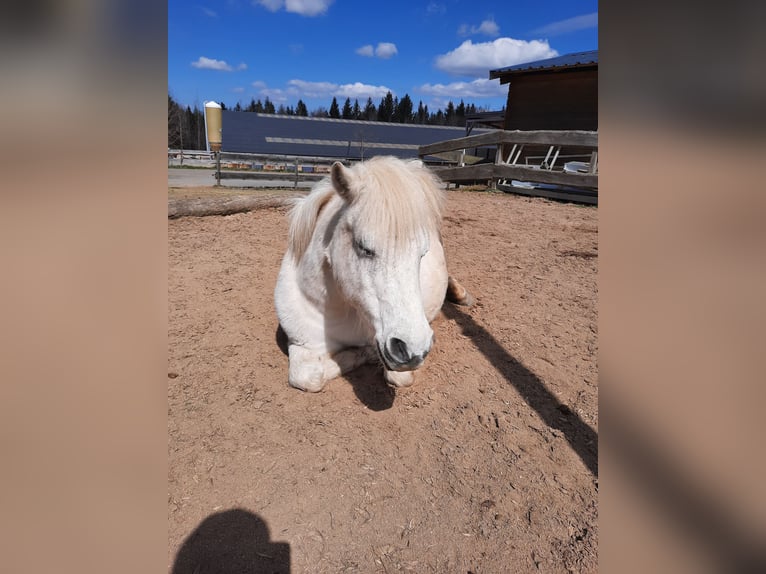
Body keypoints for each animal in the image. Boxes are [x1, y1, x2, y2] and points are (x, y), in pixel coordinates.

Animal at [272, 155, 472, 394]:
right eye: (363, 247)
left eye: (423, 253)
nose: (413, 351)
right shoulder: (302, 343)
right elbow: (308, 377)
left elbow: (397, 376)